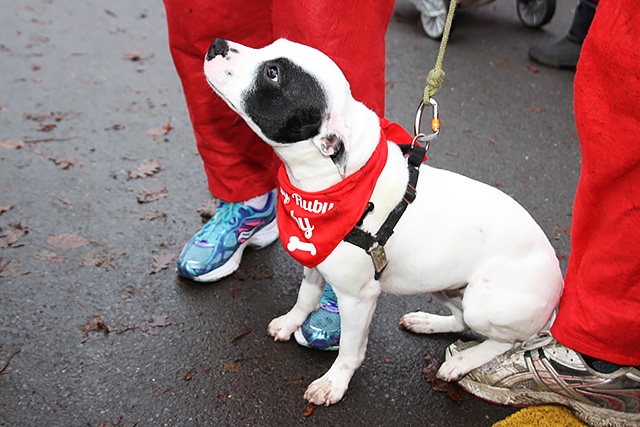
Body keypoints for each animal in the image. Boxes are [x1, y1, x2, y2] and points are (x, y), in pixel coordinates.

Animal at [202, 38, 564, 406]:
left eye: (273, 74)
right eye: (274, 44)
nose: (217, 44)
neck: (338, 185)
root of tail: (559, 287)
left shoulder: (358, 298)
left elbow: (349, 349)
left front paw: (334, 382)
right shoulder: (316, 262)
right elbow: (305, 297)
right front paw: (290, 323)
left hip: (484, 300)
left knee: (506, 340)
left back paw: (463, 360)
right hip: (445, 285)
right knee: (461, 317)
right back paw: (428, 323)